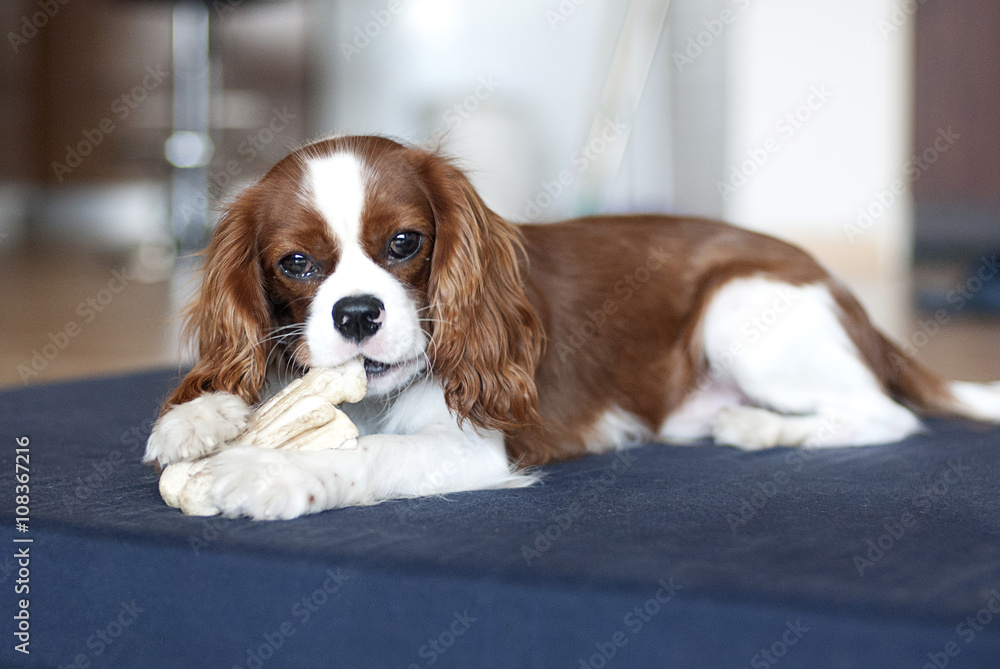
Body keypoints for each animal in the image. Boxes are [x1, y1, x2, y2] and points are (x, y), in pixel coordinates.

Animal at [143, 136, 1000, 520]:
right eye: (296, 262)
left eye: (404, 243)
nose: (357, 313)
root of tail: (844, 293)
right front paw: (199, 416)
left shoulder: (474, 445)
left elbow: (370, 454)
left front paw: (267, 474)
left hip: (742, 306)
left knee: (884, 414)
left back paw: (763, 428)